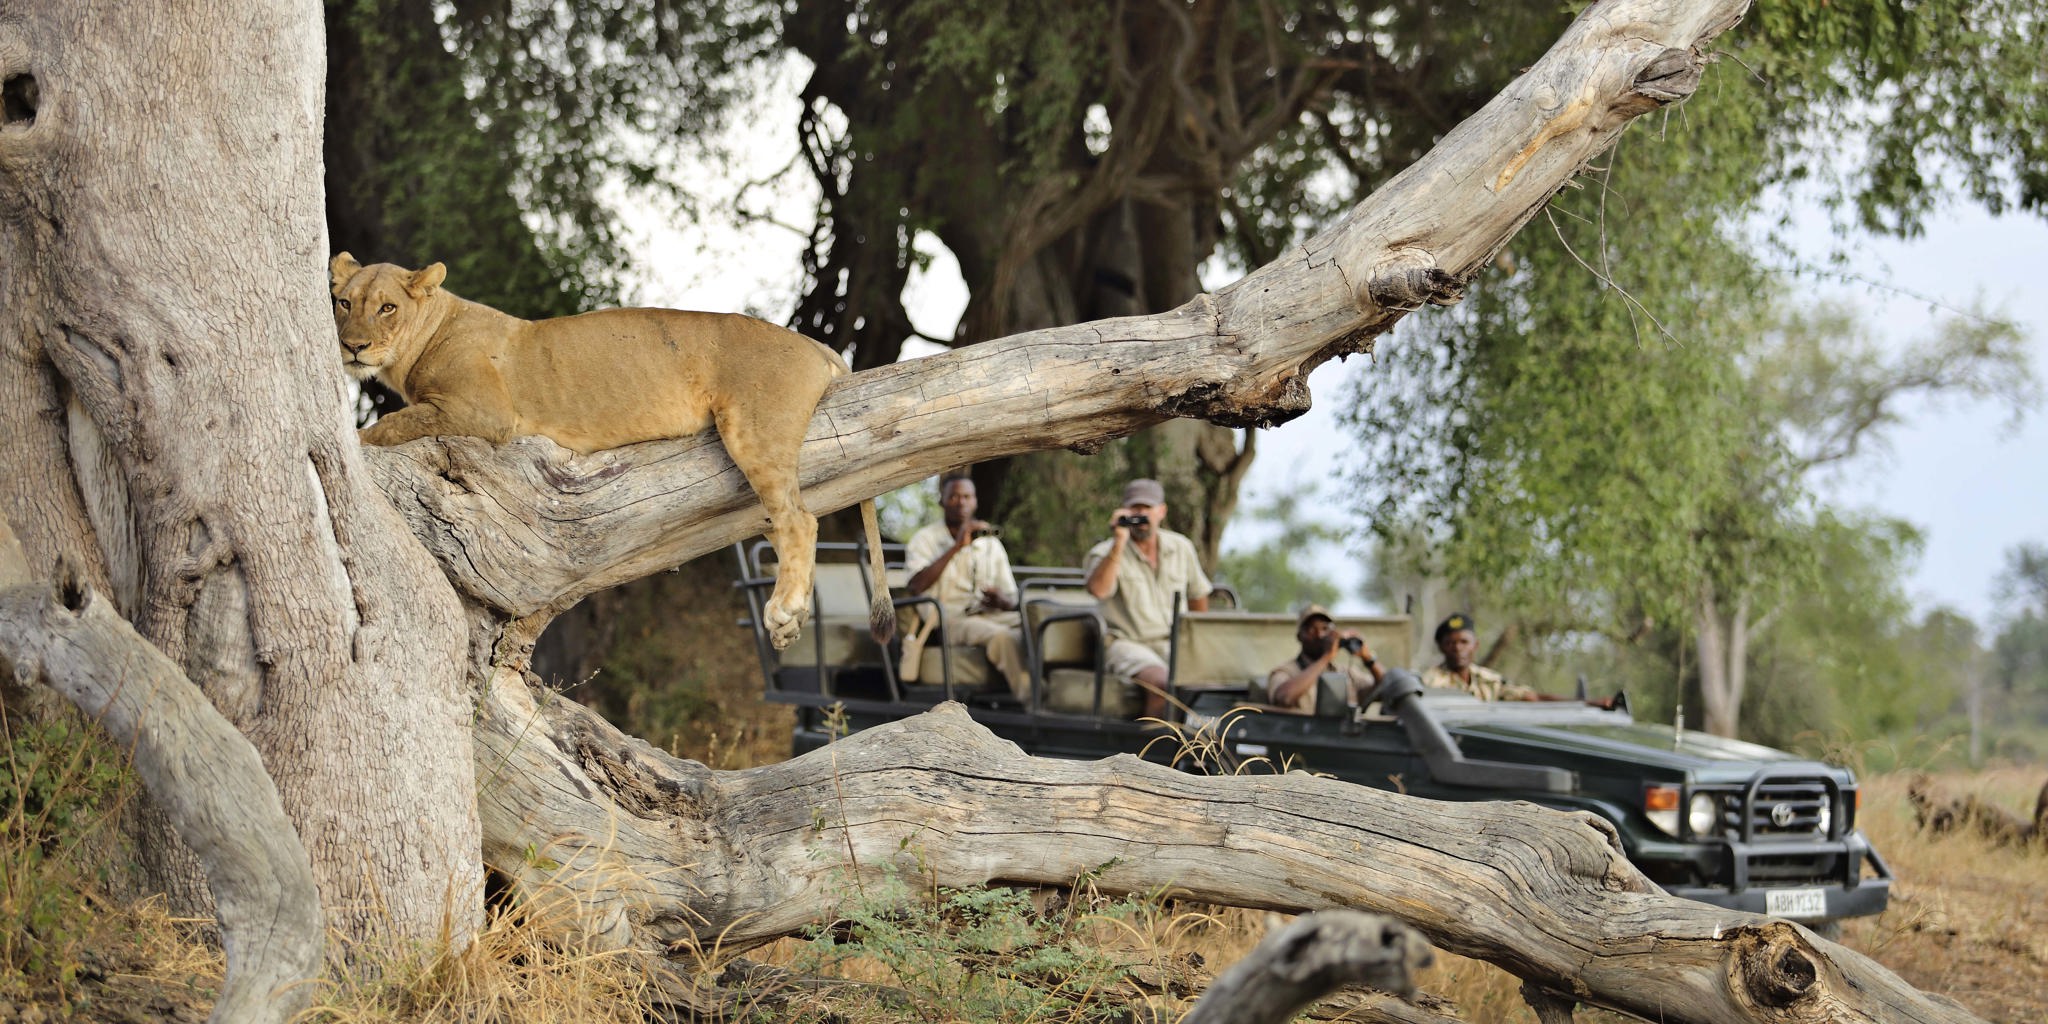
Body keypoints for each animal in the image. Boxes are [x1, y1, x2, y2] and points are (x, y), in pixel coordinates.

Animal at [328, 252, 891, 651]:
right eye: (344, 304)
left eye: (387, 307)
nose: (352, 347)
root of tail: (809, 341)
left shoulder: (483, 413)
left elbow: (390, 423)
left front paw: (355, 437)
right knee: (782, 519)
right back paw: (790, 627)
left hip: (754, 429)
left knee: (799, 518)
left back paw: (783, 608)